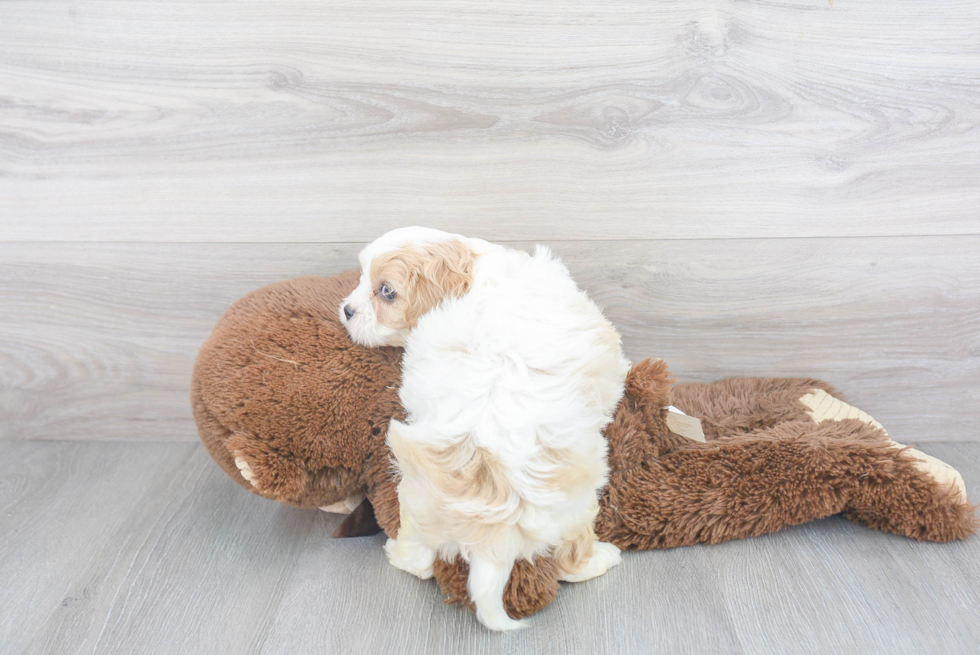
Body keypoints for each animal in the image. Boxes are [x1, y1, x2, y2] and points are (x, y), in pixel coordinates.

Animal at [340, 228, 632, 632]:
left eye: (386, 291)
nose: (347, 310)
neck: (477, 275)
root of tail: (493, 533)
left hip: (417, 502)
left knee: (418, 560)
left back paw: (396, 551)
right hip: (578, 508)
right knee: (572, 560)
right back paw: (603, 557)